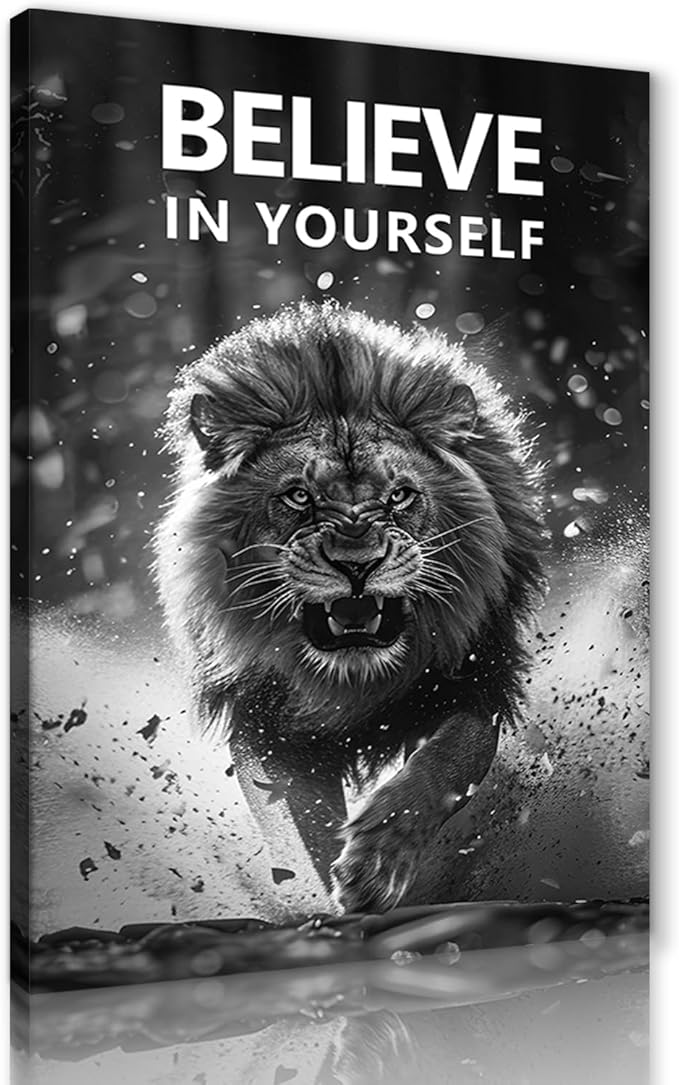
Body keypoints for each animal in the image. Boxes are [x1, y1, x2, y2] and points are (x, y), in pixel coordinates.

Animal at [154, 300, 546, 912]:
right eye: (298, 496)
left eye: (400, 495)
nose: (357, 564)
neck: (352, 680)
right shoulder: (267, 722)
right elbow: (297, 831)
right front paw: (322, 900)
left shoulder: (475, 679)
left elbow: (453, 759)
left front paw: (376, 862)